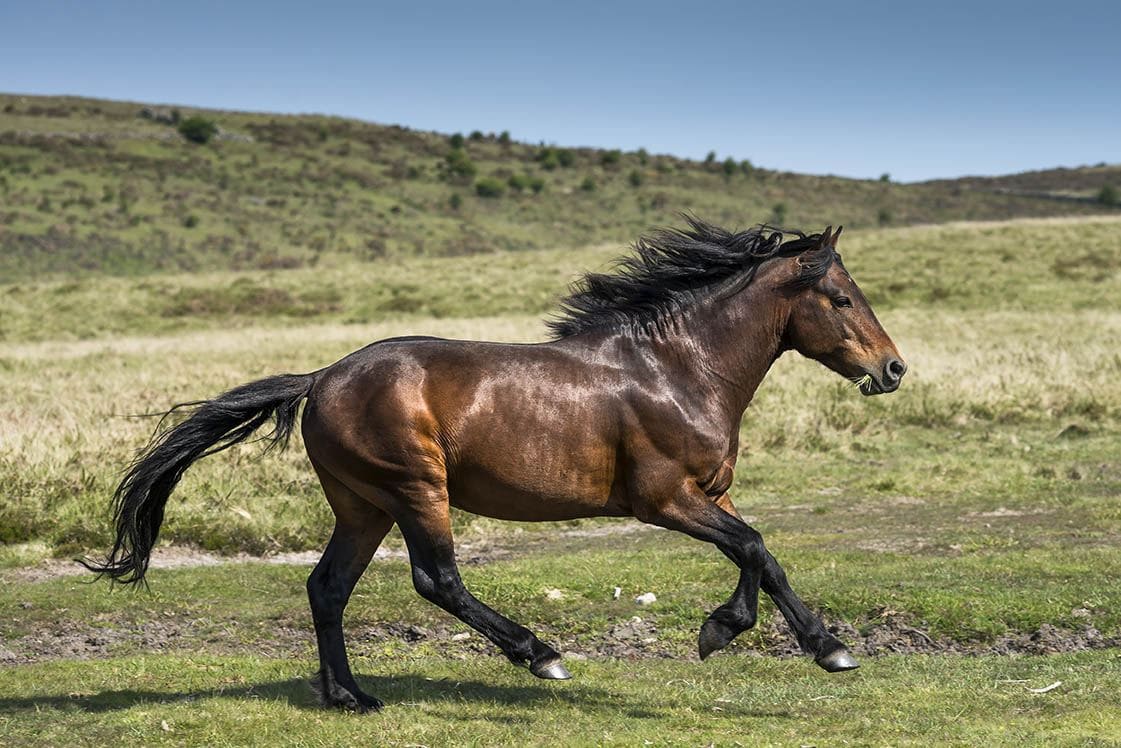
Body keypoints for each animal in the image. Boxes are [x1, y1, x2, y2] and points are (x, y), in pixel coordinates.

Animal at [82, 217, 905, 713]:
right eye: (839, 297)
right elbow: (755, 547)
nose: (892, 369)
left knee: (327, 588)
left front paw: (824, 648)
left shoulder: (710, 494)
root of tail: (321, 378)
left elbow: (765, 556)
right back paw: (539, 654)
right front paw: (726, 631)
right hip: (415, 489)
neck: (676, 369)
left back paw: (351, 697)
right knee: (436, 580)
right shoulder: (666, 498)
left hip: (363, 506)